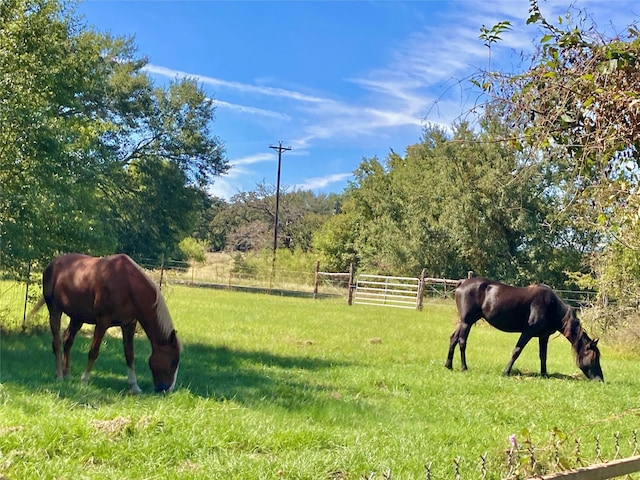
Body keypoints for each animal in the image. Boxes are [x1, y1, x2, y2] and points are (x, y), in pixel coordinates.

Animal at [31, 253, 182, 392]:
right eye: (173, 361)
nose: (167, 389)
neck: (127, 285)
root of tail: (52, 264)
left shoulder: (129, 324)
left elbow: (129, 354)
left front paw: (134, 386)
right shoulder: (103, 322)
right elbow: (93, 352)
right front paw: (84, 380)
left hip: (77, 318)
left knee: (68, 341)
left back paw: (67, 374)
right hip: (55, 310)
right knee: (57, 343)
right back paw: (60, 376)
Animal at [448, 278, 604, 382]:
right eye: (594, 357)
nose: (600, 379)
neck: (552, 307)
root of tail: (462, 282)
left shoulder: (544, 336)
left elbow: (543, 356)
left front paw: (544, 374)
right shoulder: (527, 332)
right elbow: (517, 351)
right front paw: (506, 372)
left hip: (464, 322)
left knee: (453, 338)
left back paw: (448, 365)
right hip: (467, 322)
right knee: (462, 341)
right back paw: (464, 367)